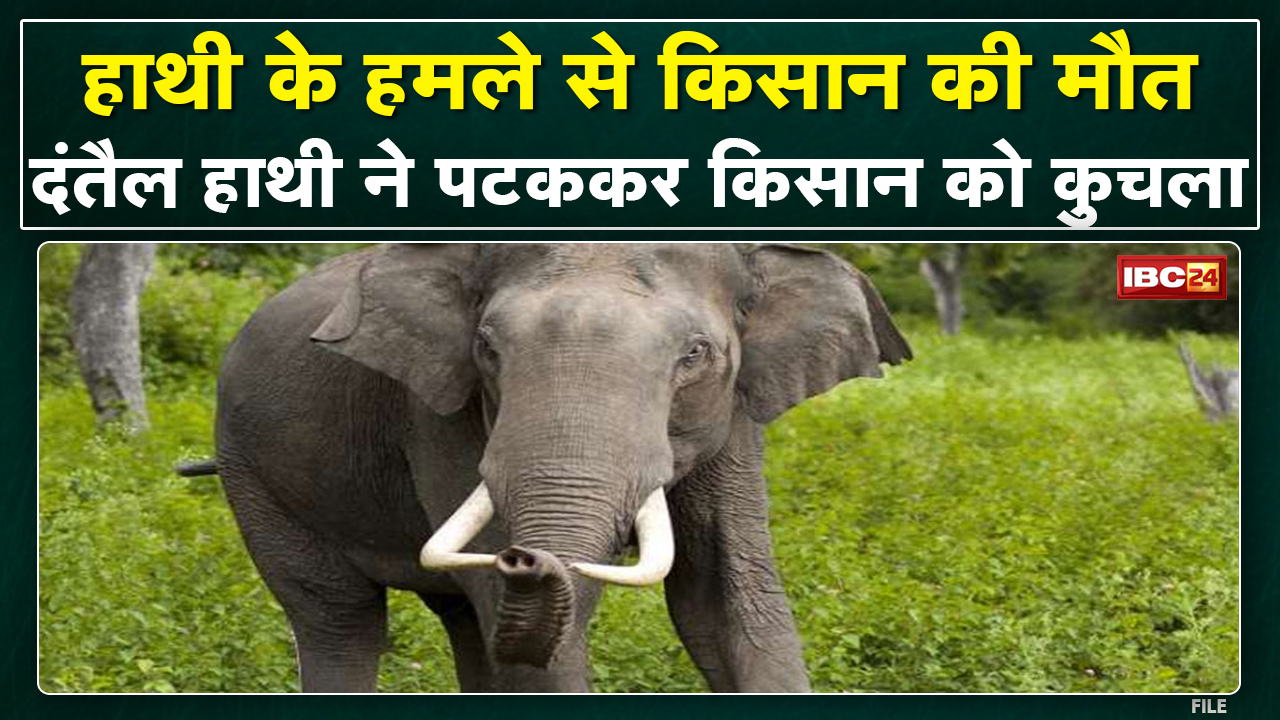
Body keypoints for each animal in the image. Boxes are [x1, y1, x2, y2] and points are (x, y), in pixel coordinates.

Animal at [202, 242, 911, 693]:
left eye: (695, 355)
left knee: (464, 622)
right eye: (487, 347)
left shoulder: (735, 414)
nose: (524, 557)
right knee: (340, 619)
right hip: (253, 473)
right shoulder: (438, 412)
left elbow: (724, 598)